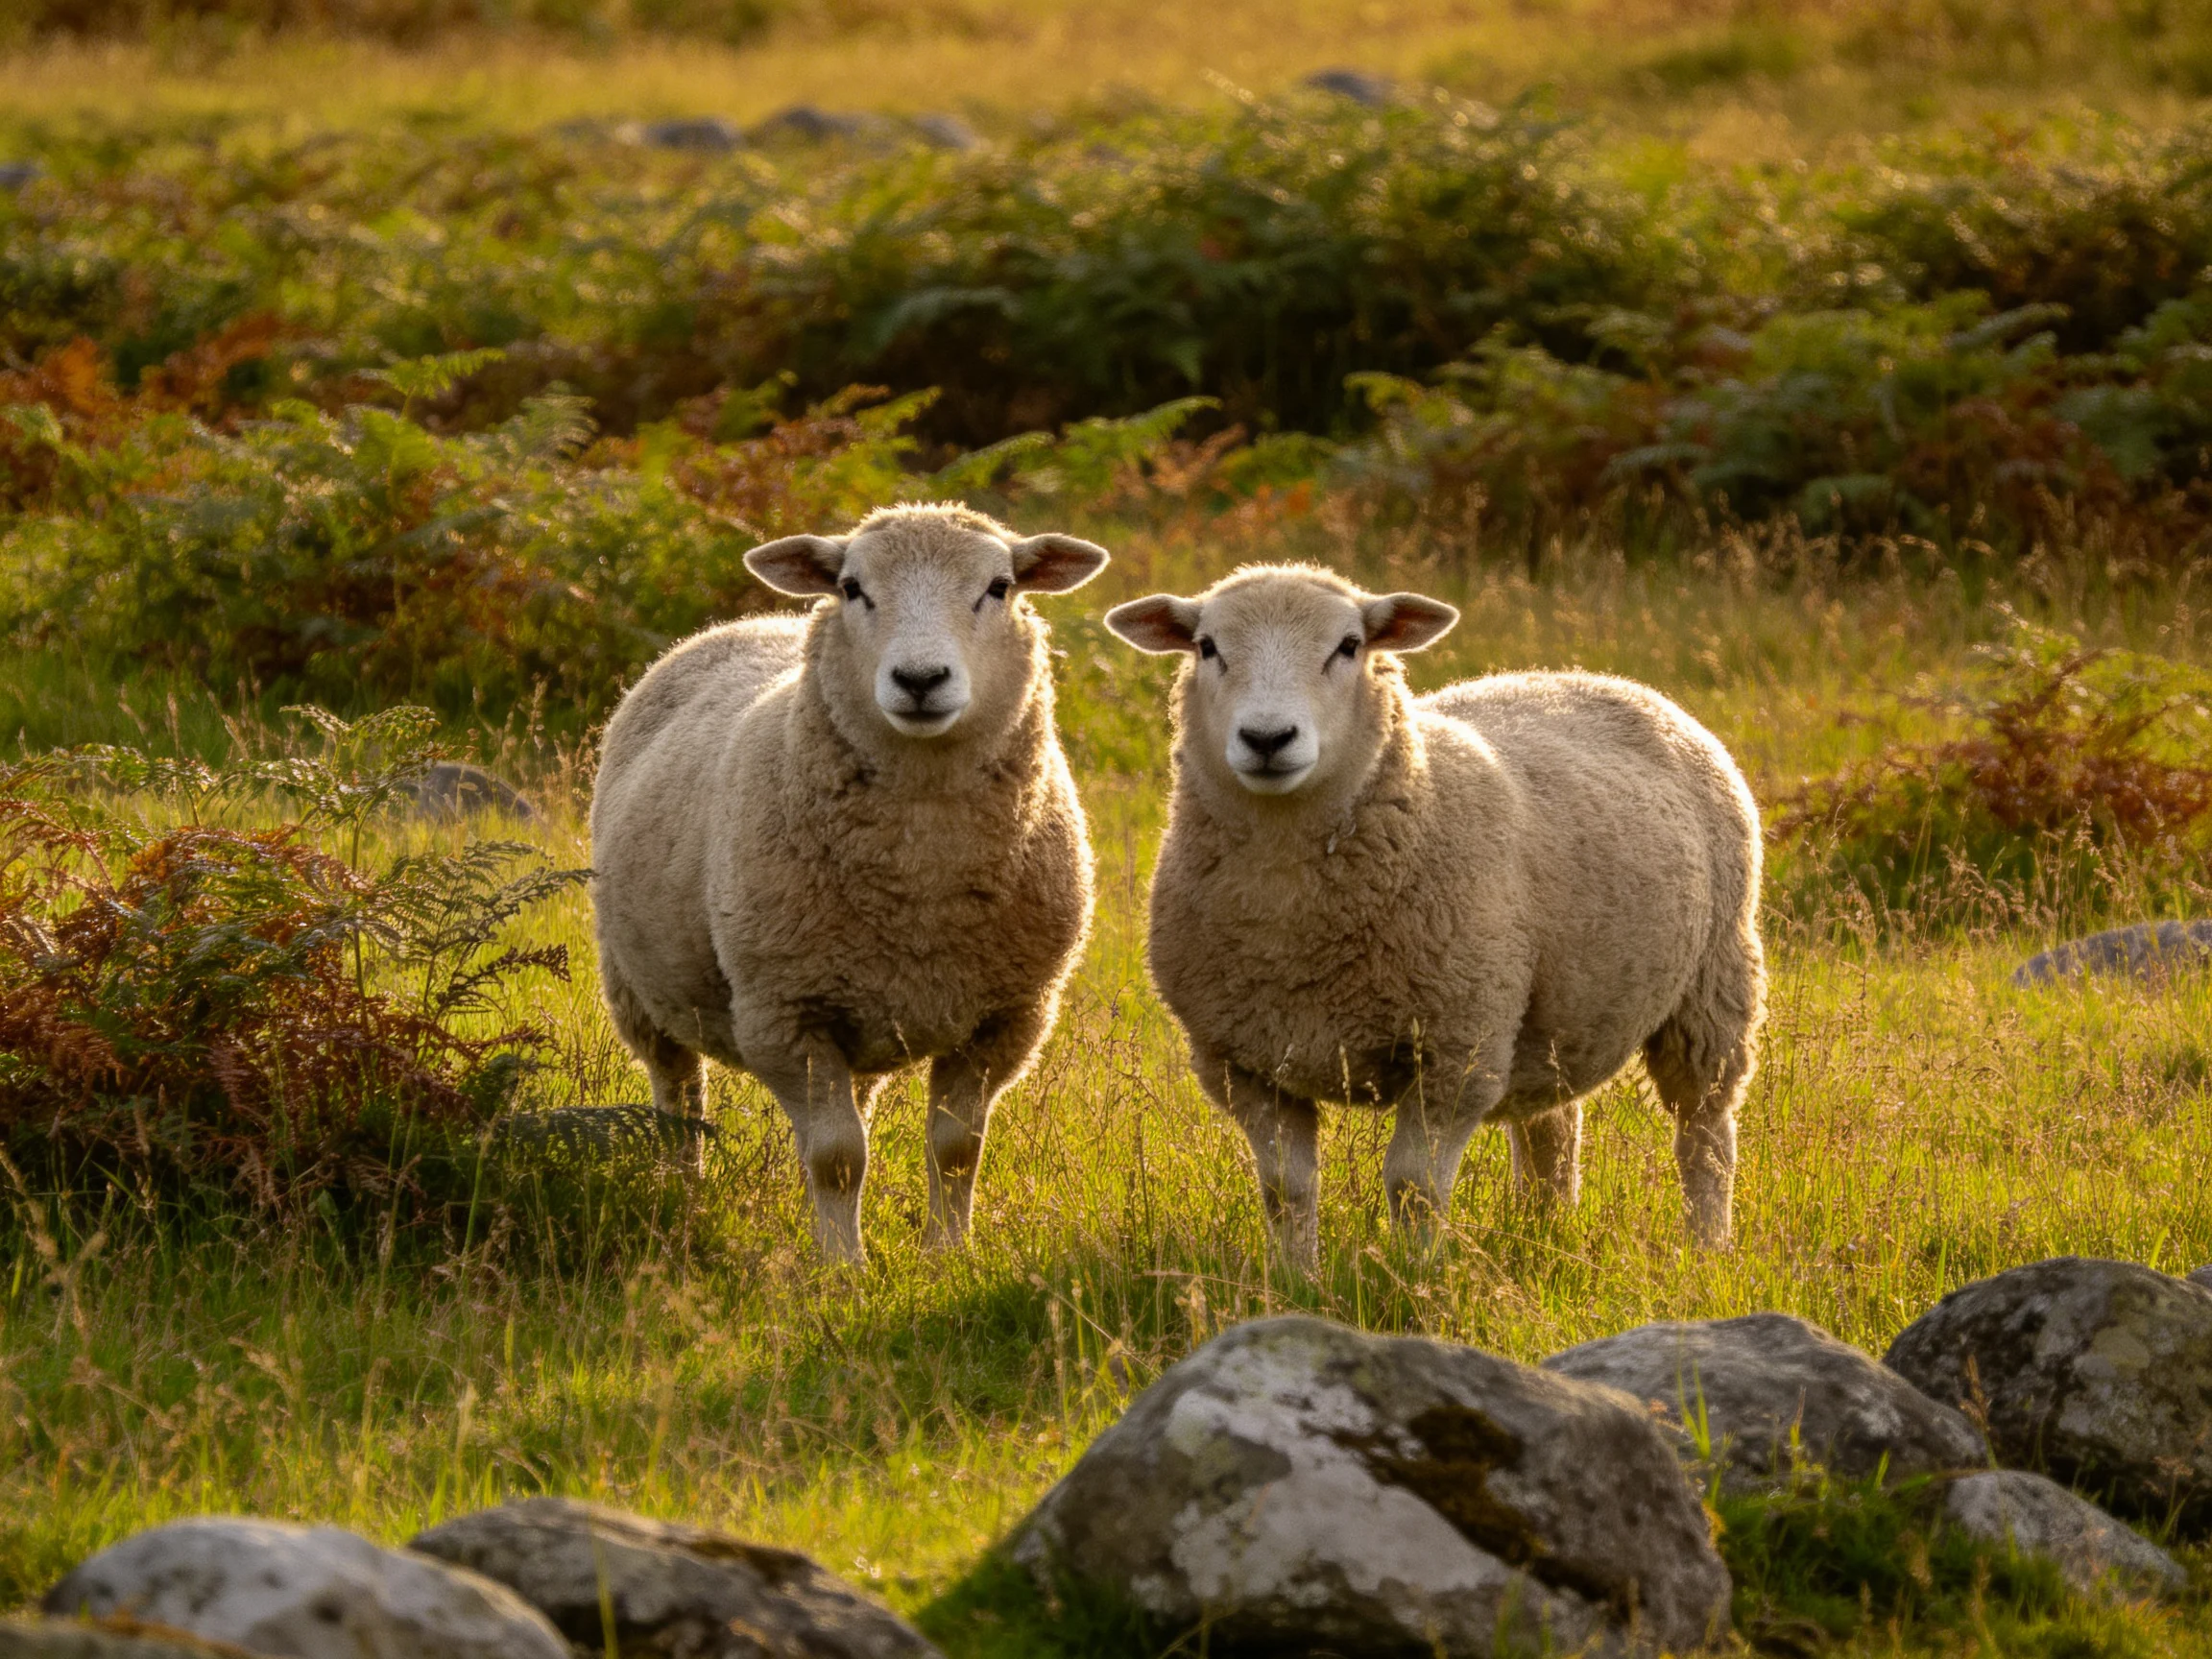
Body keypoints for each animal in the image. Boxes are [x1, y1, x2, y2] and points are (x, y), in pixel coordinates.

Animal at [590, 504, 1109, 1263]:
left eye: (1000, 586)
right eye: (852, 587)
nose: (920, 679)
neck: (924, 871)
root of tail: (749, 621)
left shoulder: (1008, 1016)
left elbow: (956, 1149)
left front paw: (947, 1258)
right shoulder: (787, 1013)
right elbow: (837, 1157)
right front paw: (843, 1269)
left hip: (866, 1009)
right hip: (638, 987)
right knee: (678, 1095)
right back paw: (682, 1196)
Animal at [1106, 564, 1764, 1263]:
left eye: (1349, 646)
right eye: (1207, 647)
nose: (1267, 738)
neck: (1291, 924)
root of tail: (1597, 678)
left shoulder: (1458, 1049)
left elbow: (1413, 1185)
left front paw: (1414, 1275)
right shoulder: (1244, 1063)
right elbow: (1285, 1188)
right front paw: (1294, 1277)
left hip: (1714, 982)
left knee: (1705, 1131)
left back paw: (1708, 1246)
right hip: (1548, 1014)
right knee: (1553, 1125)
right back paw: (1543, 1229)